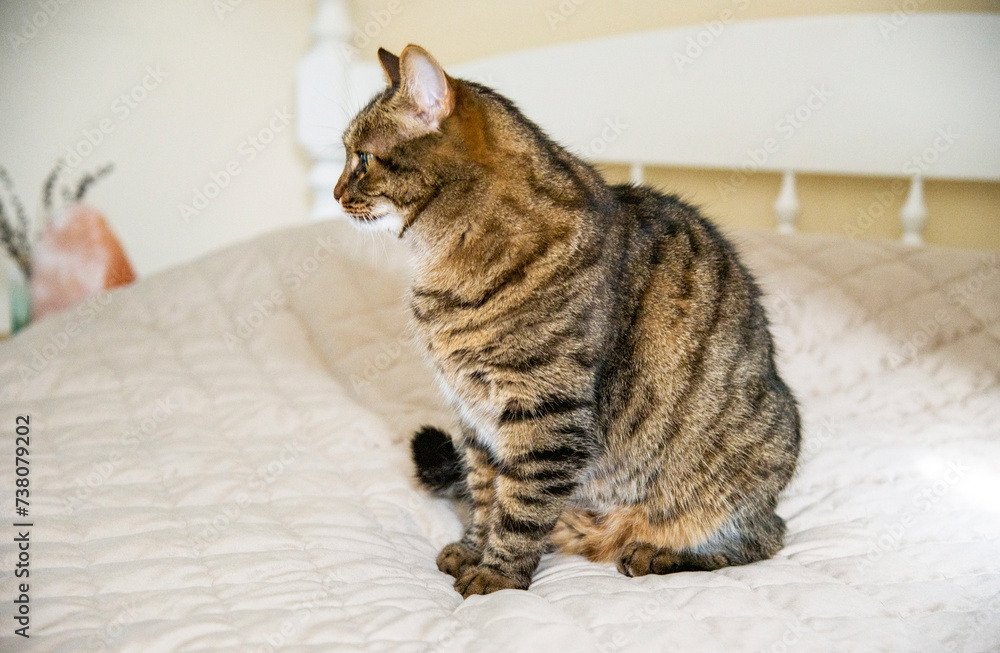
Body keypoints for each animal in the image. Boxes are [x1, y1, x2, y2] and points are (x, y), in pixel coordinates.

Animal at [332, 44, 800, 596]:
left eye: (362, 158)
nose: (335, 193)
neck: (445, 260)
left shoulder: (547, 413)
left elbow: (520, 507)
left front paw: (495, 576)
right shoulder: (475, 420)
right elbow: (485, 495)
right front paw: (472, 549)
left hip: (732, 481)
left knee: (762, 539)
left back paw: (656, 552)